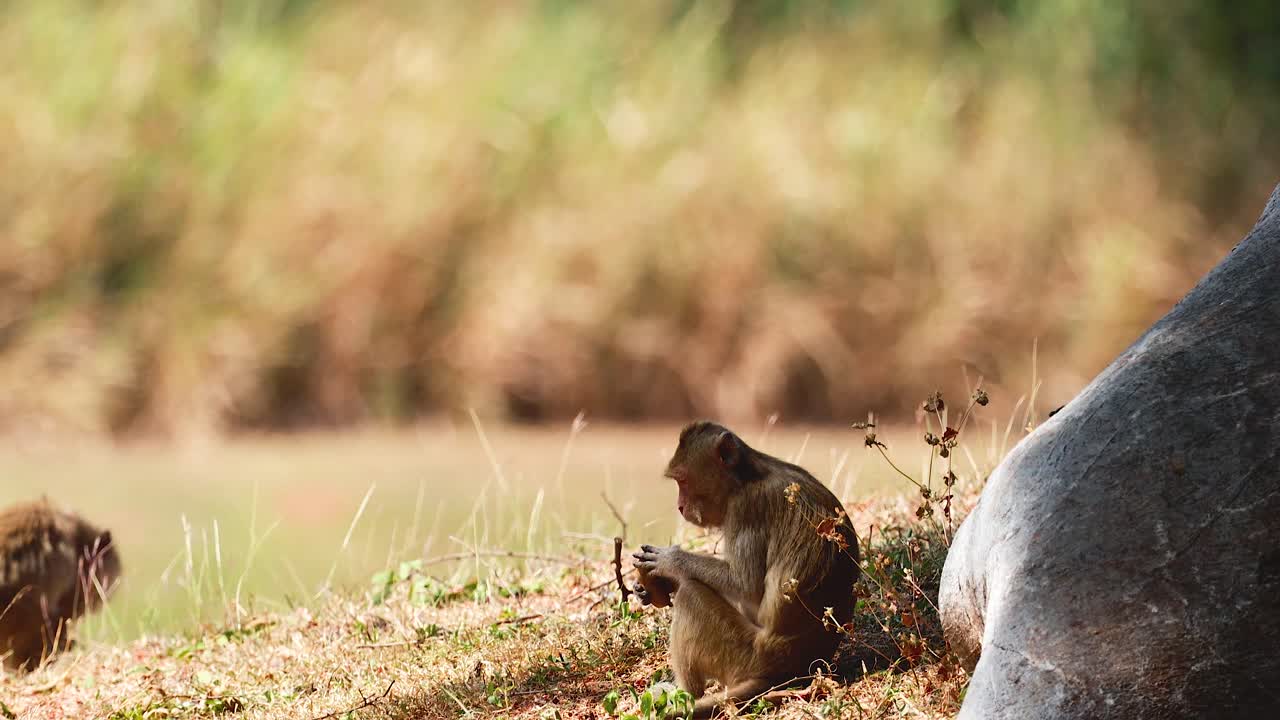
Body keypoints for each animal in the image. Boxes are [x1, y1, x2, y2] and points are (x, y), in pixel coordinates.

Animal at [633, 421, 860, 717]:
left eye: (683, 481)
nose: (680, 507)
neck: (745, 477)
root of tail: (789, 670)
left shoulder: (746, 508)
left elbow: (745, 584)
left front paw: (671, 562)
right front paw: (647, 588)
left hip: (744, 655)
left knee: (691, 595)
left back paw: (686, 694)